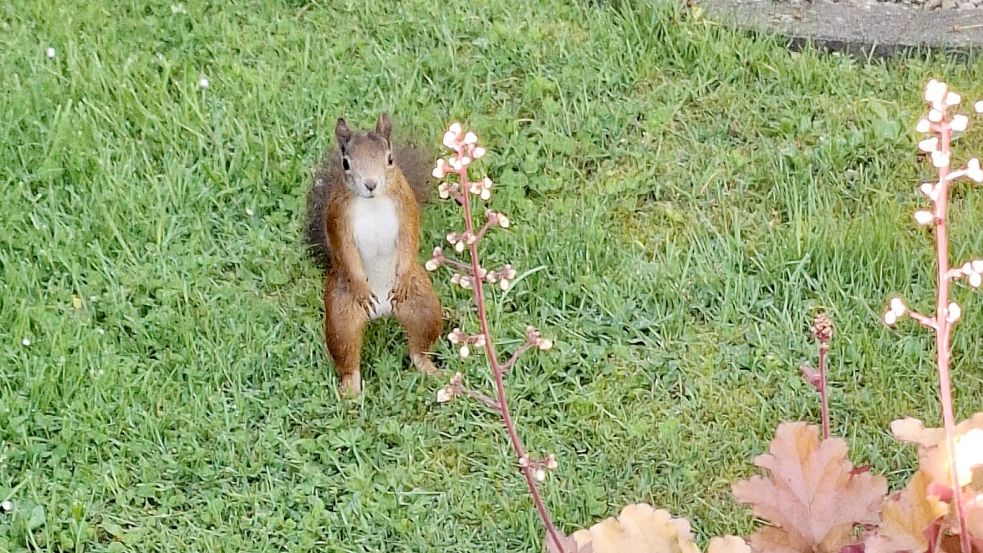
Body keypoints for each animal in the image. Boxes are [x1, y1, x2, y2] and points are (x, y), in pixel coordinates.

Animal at [305, 112, 443, 397]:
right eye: (346, 163)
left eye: (390, 159)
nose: (370, 184)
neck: (372, 203)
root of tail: (382, 311)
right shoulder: (338, 216)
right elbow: (345, 250)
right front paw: (360, 285)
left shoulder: (405, 205)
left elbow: (410, 237)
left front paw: (402, 276)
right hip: (341, 317)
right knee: (348, 359)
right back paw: (350, 392)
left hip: (423, 306)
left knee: (418, 350)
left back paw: (432, 371)